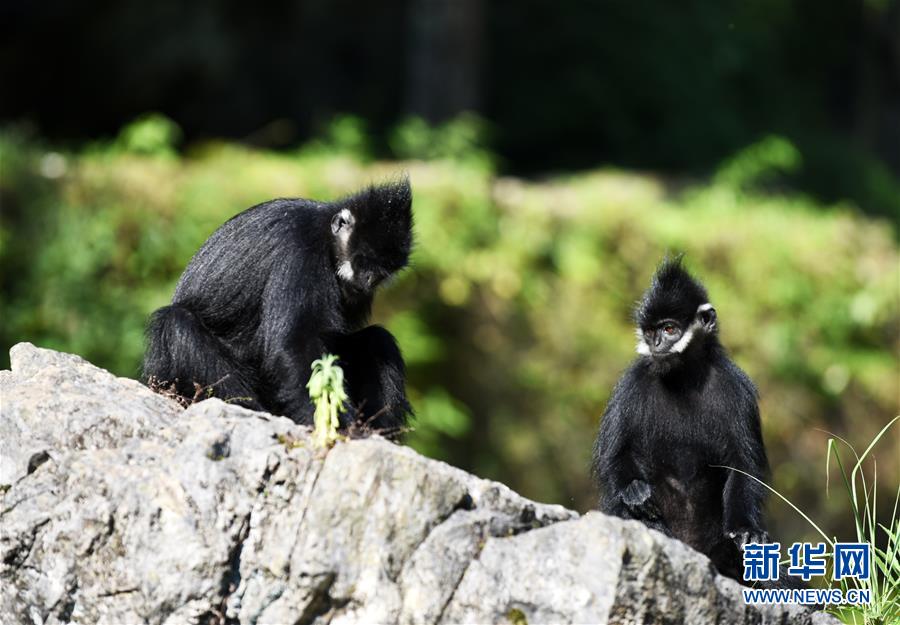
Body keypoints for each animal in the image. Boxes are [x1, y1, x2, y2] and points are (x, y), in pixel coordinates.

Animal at [143, 176, 414, 432]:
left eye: (383, 271)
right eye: (363, 260)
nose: (369, 279)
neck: (325, 236)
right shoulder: (301, 249)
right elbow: (296, 342)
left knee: (378, 340)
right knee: (176, 323)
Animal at [596, 258, 768, 580]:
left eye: (670, 328)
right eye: (651, 332)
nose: (657, 345)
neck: (684, 379)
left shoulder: (736, 388)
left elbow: (743, 464)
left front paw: (746, 532)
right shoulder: (632, 383)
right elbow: (614, 455)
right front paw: (634, 491)